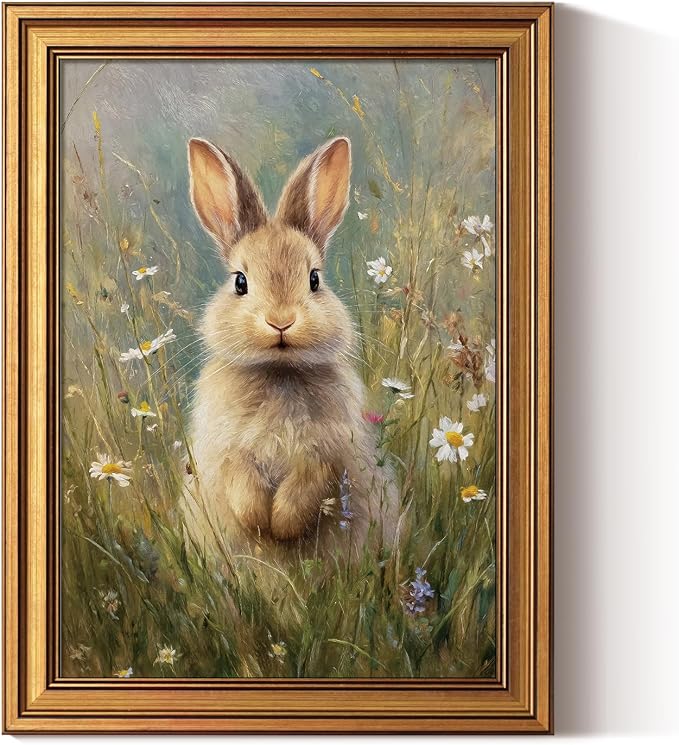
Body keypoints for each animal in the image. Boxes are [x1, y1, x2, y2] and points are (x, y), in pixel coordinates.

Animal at [180, 136, 398, 562]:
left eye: (314, 279)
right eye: (240, 282)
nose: (280, 321)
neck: (278, 371)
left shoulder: (326, 454)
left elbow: (309, 484)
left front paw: (281, 525)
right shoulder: (227, 450)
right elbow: (239, 478)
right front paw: (259, 523)